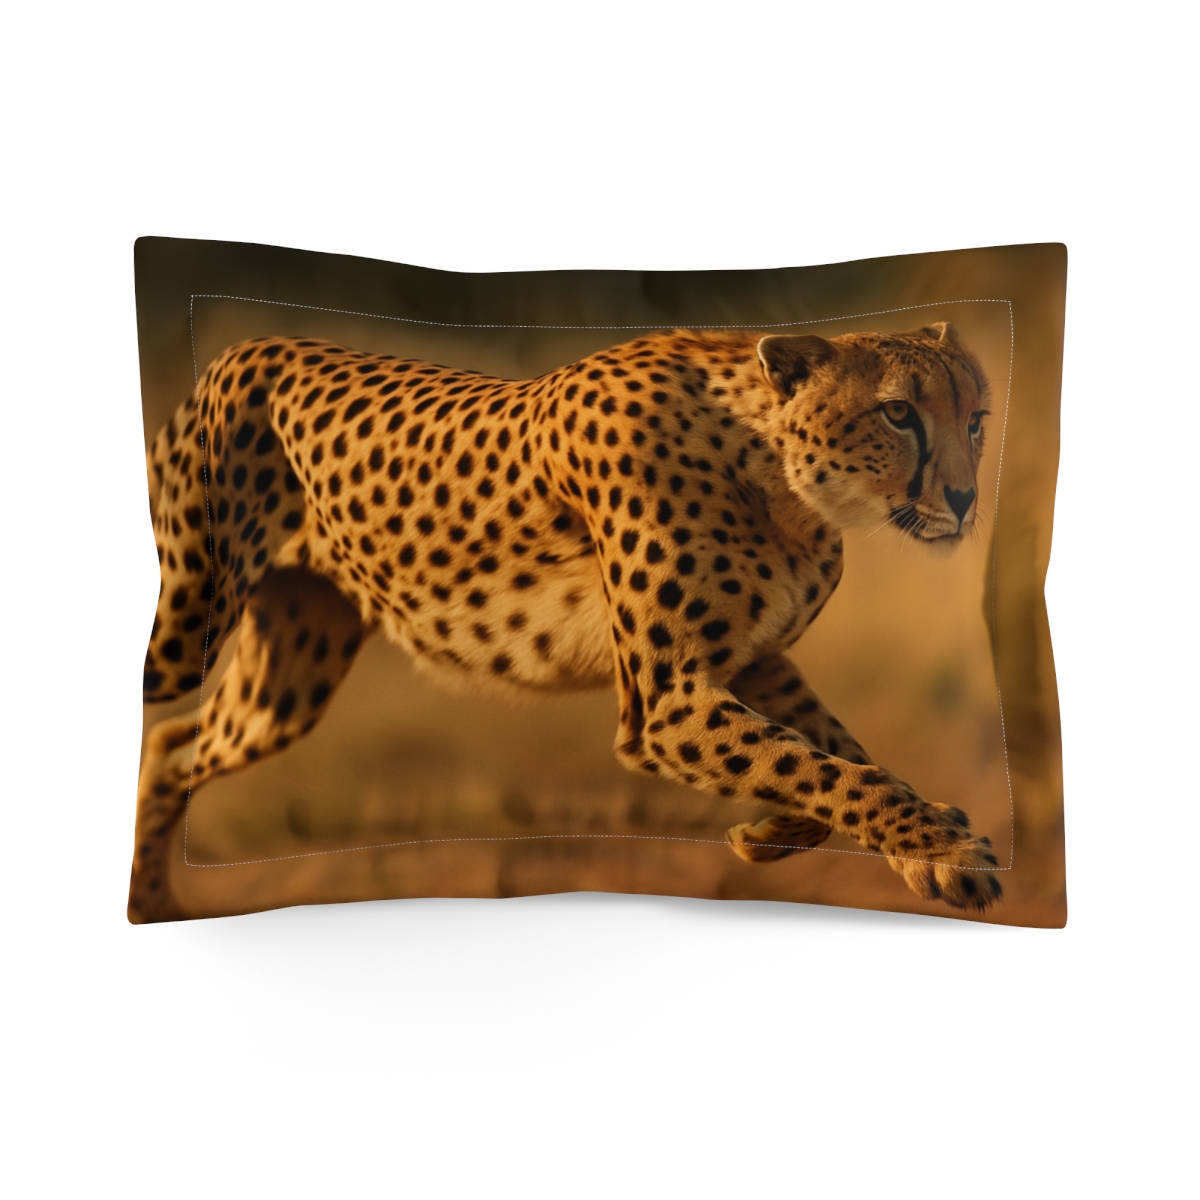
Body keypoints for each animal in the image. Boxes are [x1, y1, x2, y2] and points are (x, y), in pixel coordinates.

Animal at [132, 320, 1002, 922]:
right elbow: (824, 766)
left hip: (289, 678)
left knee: (173, 745)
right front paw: (947, 847)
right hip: (187, 621)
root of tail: (247, 343)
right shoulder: (667, 705)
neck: (782, 480)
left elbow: (834, 754)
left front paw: (794, 833)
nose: (965, 500)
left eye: (977, 419)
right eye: (898, 413)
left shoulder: (754, 662)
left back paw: (155, 902)